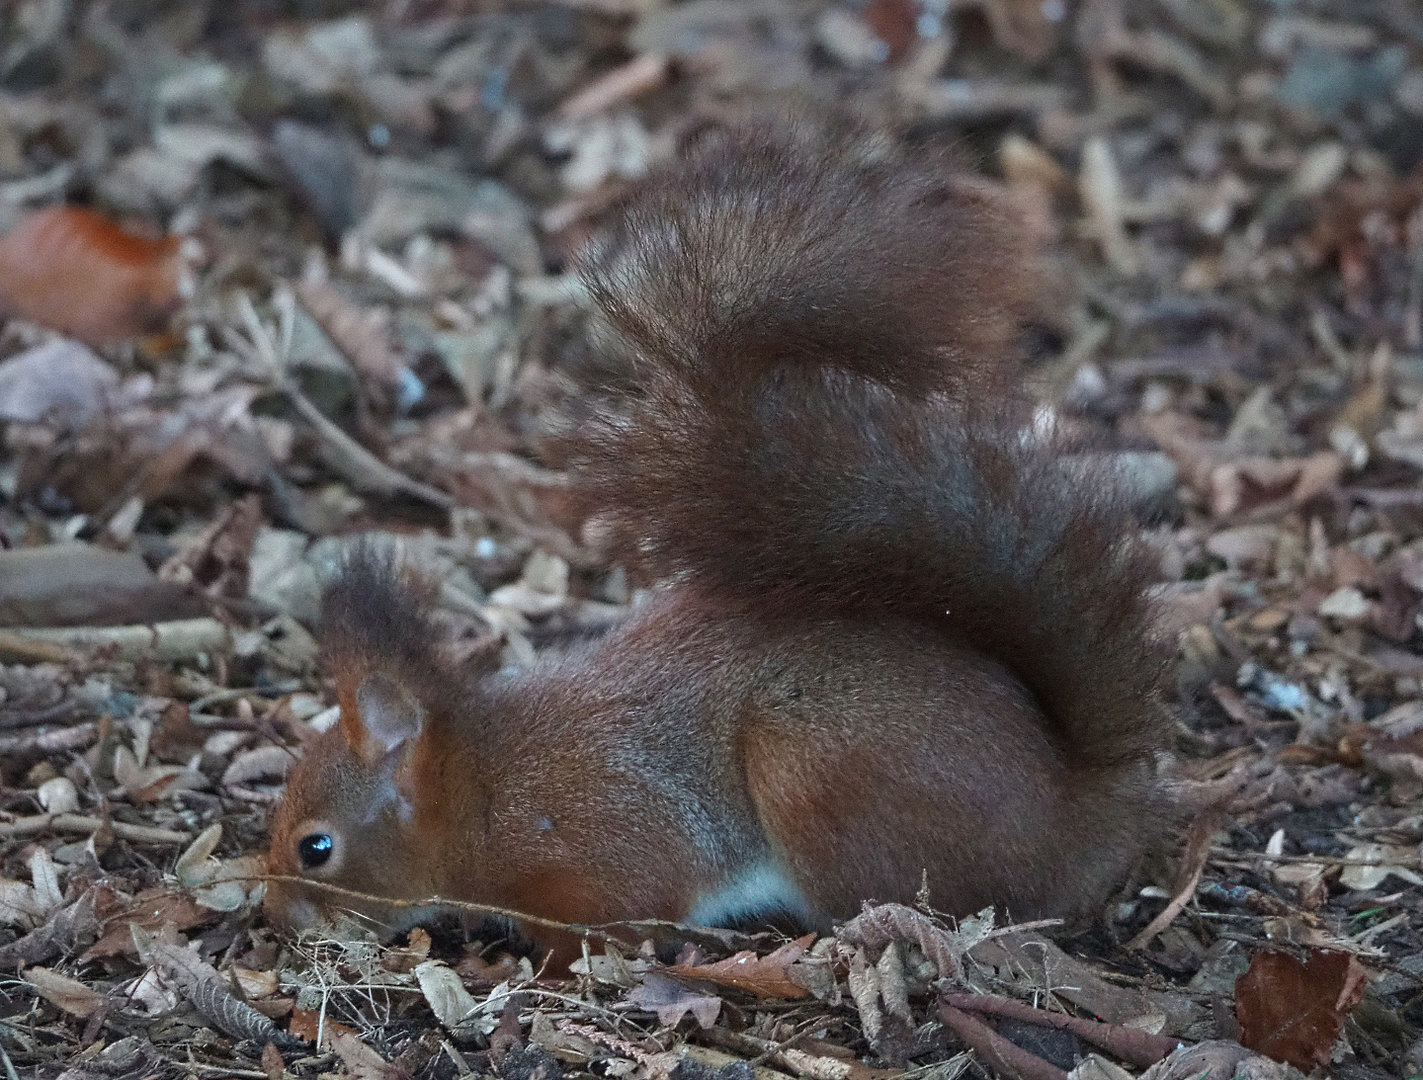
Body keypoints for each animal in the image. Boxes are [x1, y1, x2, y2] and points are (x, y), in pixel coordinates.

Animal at [263, 122, 1175, 965]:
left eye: (316, 847)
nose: (273, 917)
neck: (481, 792)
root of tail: (1074, 815)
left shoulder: (601, 843)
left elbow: (624, 915)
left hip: (816, 765)